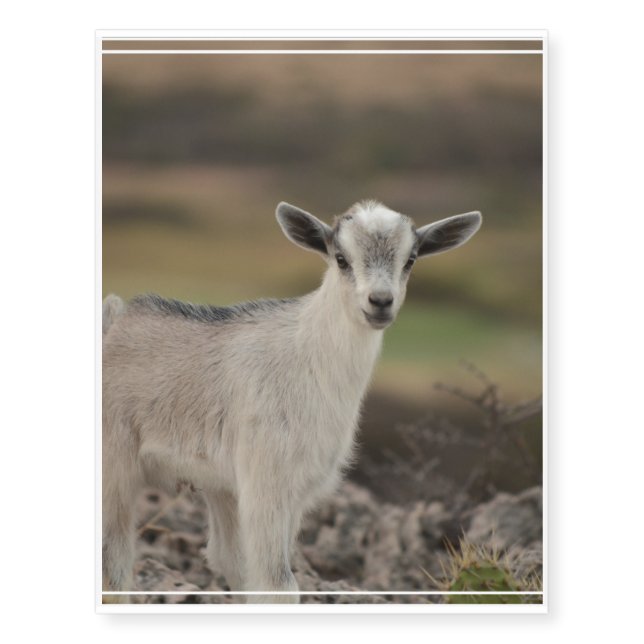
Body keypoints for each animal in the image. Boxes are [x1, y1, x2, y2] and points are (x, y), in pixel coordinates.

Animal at [102, 200, 482, 603]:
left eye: (411, 259)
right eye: (341, 258)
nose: (380, 302)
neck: (307, 357)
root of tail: (112, 317)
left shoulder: (288, 491)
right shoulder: (266, 480)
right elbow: (278, 584)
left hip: (216, 487)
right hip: (116, 470)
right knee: (115, 564)